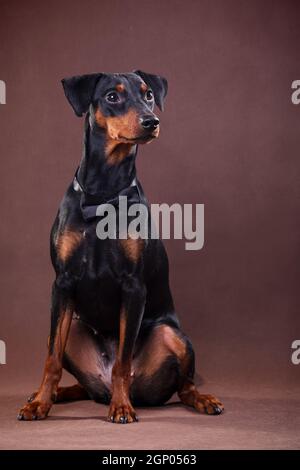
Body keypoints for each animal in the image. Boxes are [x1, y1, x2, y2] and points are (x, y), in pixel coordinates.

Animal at [16, 71, 223, 424]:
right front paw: (39, 404)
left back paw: (200, 399)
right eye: (112, 96)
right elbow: (51, 358)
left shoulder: (133, 286)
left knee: (184, 385)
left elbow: (123, 364)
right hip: (74, 326)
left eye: (149, 94)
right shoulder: (62, 282)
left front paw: (122, 407)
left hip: (173, 335)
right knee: (81, 383)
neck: (103, 191)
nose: (151, 121)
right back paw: (54, 395)